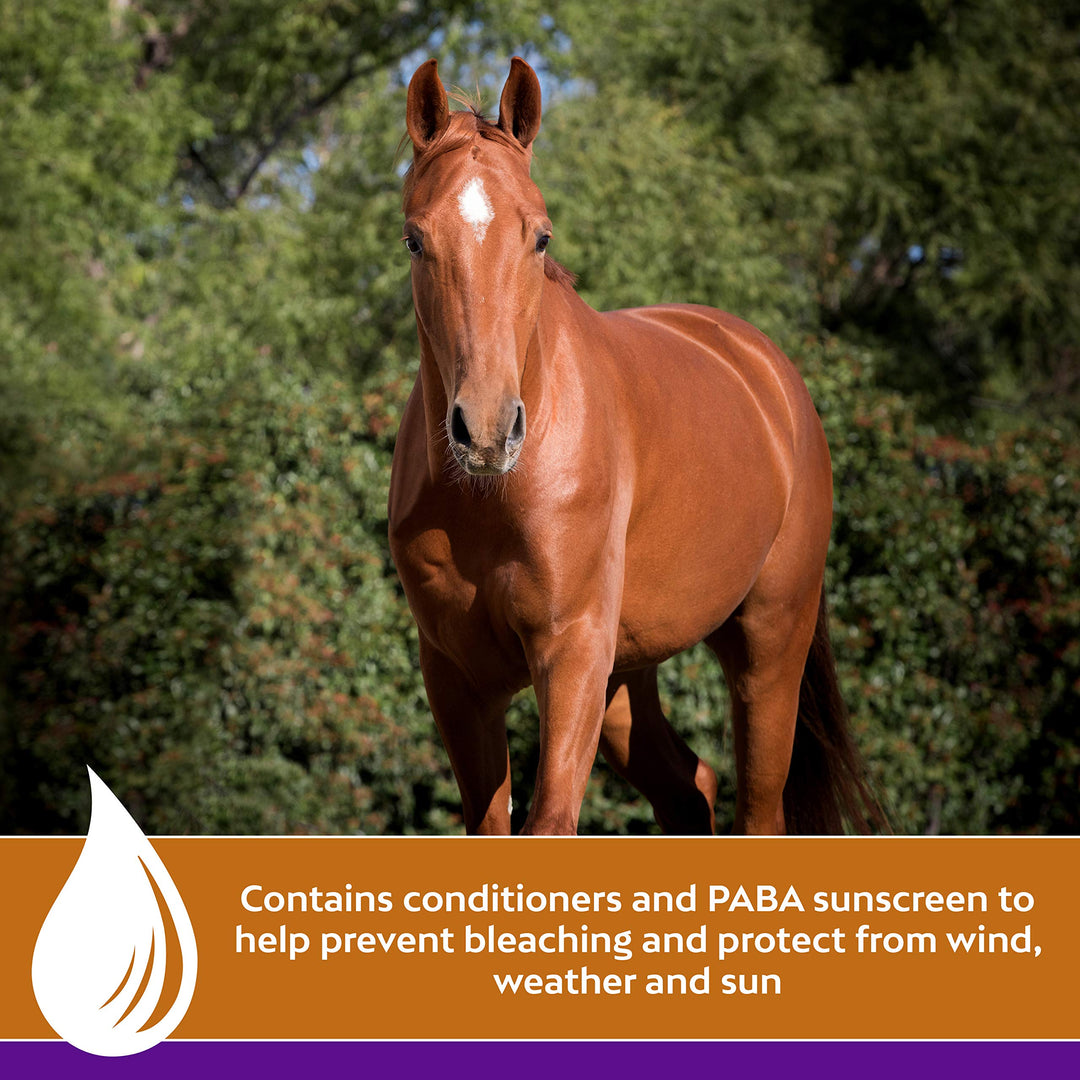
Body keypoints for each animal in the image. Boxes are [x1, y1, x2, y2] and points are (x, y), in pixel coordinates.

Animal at [388, 57, 884, 836]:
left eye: (541, 237)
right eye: (415, 239)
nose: (489, 430)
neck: (492, 497)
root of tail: (767, 370)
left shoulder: (571, 654)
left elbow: (549, 822)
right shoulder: (457, 677)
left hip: (769, 648)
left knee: (758, 806)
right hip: (628, 676)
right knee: (690, 789)